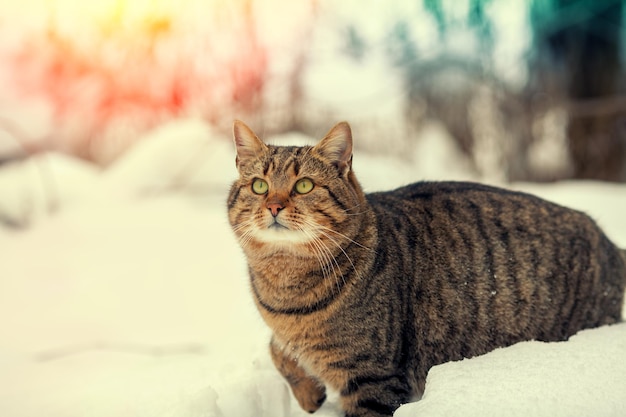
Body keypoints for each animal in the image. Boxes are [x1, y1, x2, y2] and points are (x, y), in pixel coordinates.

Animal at [225, 119, 624, 416]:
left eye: (304, 185)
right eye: (259, 186)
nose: (274, 206)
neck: (286, 290)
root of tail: (611, 244)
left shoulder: (375, 380)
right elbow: (277, 350)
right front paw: (309, 393)